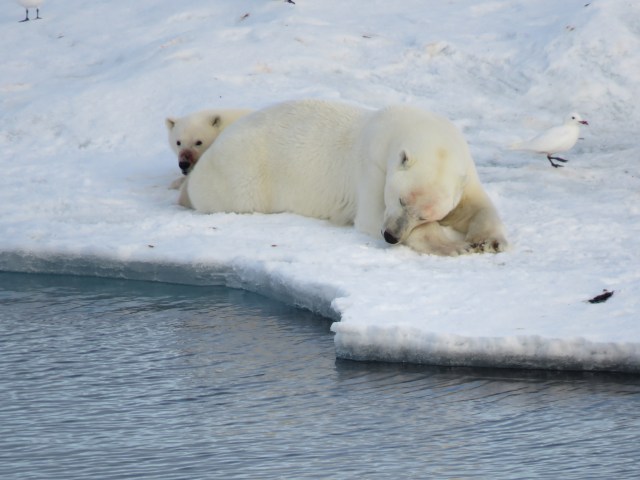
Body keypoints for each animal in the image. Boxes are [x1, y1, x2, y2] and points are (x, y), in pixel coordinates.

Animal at [183, 99, 507, 256]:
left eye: (425, 214)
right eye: (401, 200)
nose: (391, 236)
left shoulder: (465, 172)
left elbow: (477, 205)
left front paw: (490, 241)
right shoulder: (373, 165)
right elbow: (372, 215)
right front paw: (455, 246)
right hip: (242, 176)